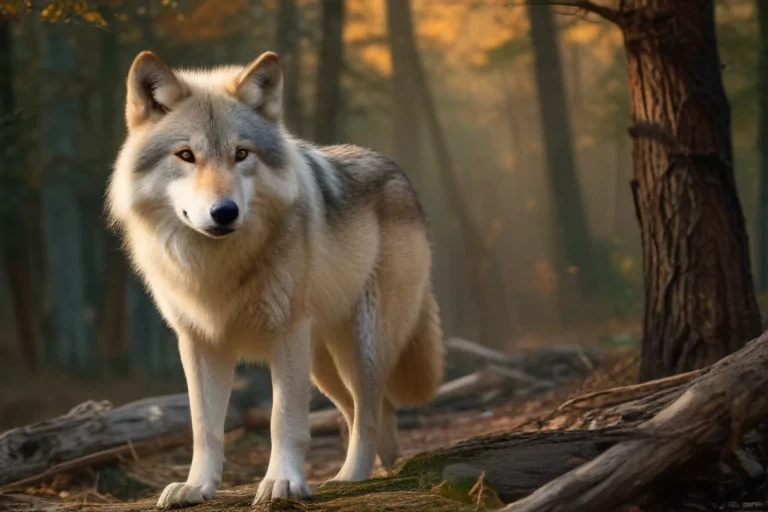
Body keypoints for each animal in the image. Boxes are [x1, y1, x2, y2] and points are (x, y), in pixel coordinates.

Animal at [106, 50, 444, 508]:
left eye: (241, 153)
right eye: (186, 155)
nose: (224, 212)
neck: (218, 264)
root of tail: (399, 173)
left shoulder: (286, 334)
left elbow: (282, 418)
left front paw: (282, 482)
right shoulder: (198, 343)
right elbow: (204, 427)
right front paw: (197, 487)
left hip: (363, 345)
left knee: (369, 410)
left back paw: (350, 477)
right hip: (323, 365)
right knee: (368, 409)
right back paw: (387, 467)